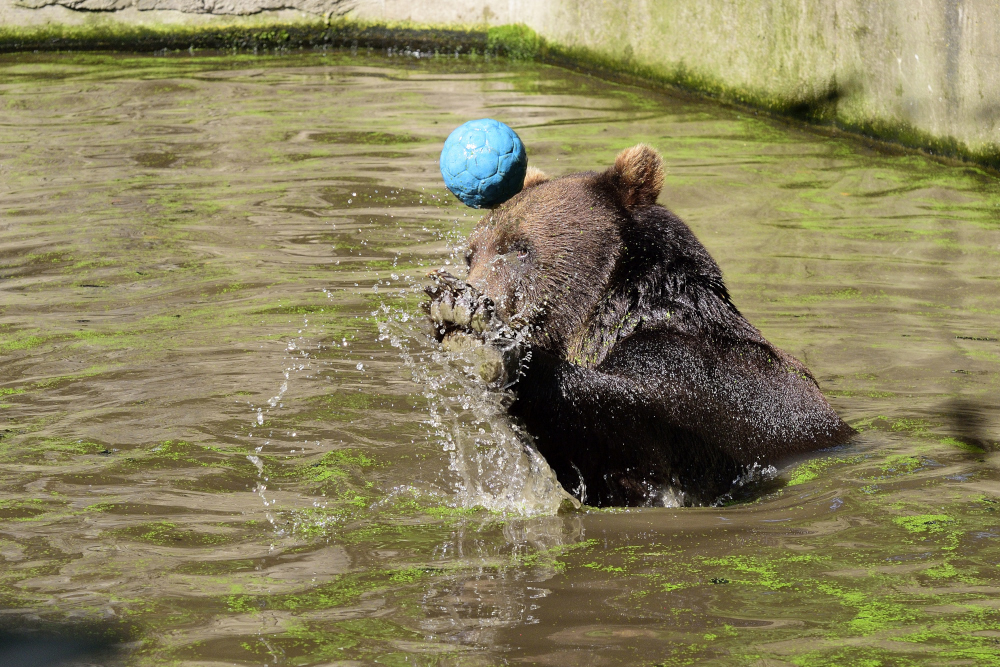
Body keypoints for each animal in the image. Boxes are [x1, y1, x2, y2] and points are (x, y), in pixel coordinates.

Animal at [426, 142, 856, 506]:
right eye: (471, 254)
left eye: (519, 249)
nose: (471, 291)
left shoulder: (707, 388)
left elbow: (625, 423)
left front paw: (486, 343)